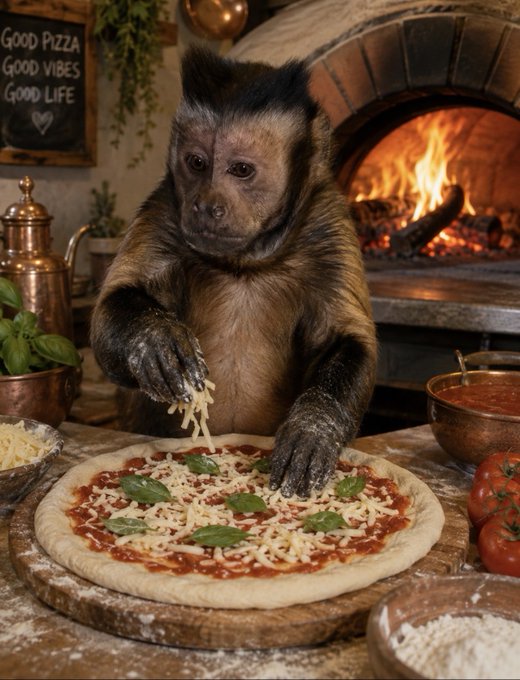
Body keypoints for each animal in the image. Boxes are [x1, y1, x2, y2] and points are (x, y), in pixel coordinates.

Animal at [90, 46, 377, 498]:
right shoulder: (164, 210)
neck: (245, 262)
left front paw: (314, 426)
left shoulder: (329, 226)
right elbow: (109, 312)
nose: (206, 205)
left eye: (241, 170)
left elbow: (347, 339)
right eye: (196, 163)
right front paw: (154, 338)